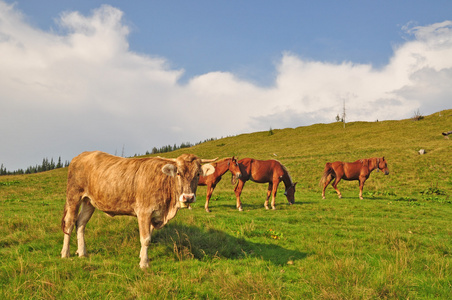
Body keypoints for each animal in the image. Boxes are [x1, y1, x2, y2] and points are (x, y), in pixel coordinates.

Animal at [61, 151, 215, 268]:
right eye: (178, 173)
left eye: (198, 174)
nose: (188, 197)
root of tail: (82, 155)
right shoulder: (144, 212)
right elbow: (145, 239)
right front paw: (144, 264)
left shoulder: (154, 215)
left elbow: (148, 237)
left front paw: (142, 257)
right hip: (74, 195)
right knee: (69, 223)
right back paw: (65, 253)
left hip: (89, 201)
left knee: (81, 223)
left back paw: (82, 252)